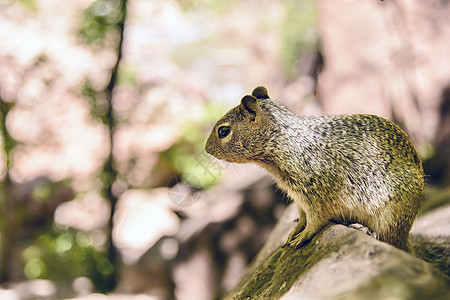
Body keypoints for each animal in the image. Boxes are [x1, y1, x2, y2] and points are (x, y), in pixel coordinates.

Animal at [206, 86, 424, 251]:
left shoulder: (316, 196)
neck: (283, 142)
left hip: (390, 218)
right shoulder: (298, 198)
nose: (206, 149)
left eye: (223, 131)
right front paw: (295, 231)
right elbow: (302, 216)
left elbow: (315, 221)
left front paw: (302, 237)